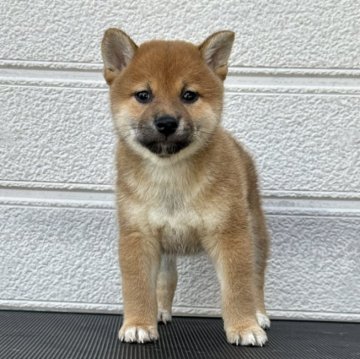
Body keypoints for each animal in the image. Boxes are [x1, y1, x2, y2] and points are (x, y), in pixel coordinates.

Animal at [101, 26, 270, 348]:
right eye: (144, 95)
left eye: (188, 95)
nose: (166, 122)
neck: (171, 175)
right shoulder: (138, 237)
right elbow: (138, 287)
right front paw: (138, 323)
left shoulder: (231, 236)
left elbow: (238, 288)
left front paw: (244, 326)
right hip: (165, 251)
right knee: (166, 281)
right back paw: (160, 310)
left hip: (255, 234)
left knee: (256, 278)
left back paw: (259, 313)